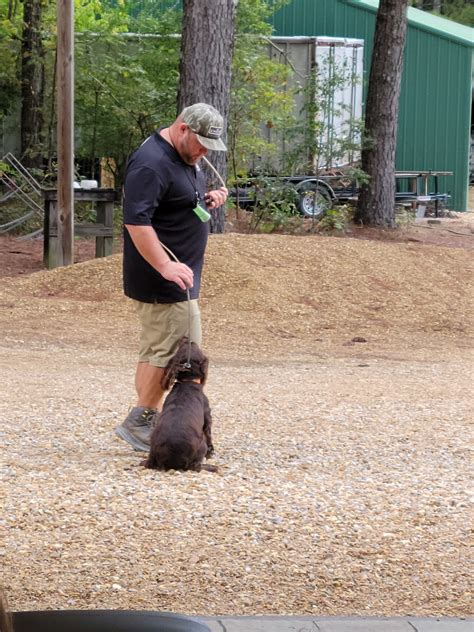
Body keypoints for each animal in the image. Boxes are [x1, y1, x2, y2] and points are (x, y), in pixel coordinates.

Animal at [141, 338, 215, 472]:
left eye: (183, 345)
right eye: (192, 345)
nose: (186, 338)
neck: (187, 381)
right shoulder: (207, 414)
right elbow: (209, 433)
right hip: (201, 445)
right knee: (196, 466)